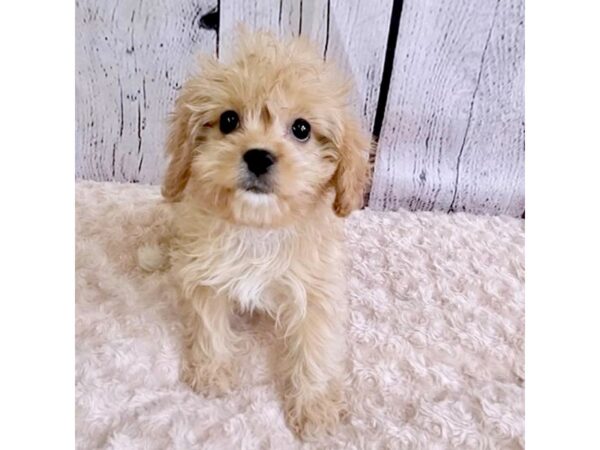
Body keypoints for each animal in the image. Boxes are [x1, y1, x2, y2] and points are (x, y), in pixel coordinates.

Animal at [162, 32, 372, 440]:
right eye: (228, 120)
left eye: (302, 129)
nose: (258, 156)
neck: (258, 228)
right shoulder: (204, 275)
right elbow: (210, 326)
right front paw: (212, 372)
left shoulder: (317, 293)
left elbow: (315, 349)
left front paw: (315, 408)